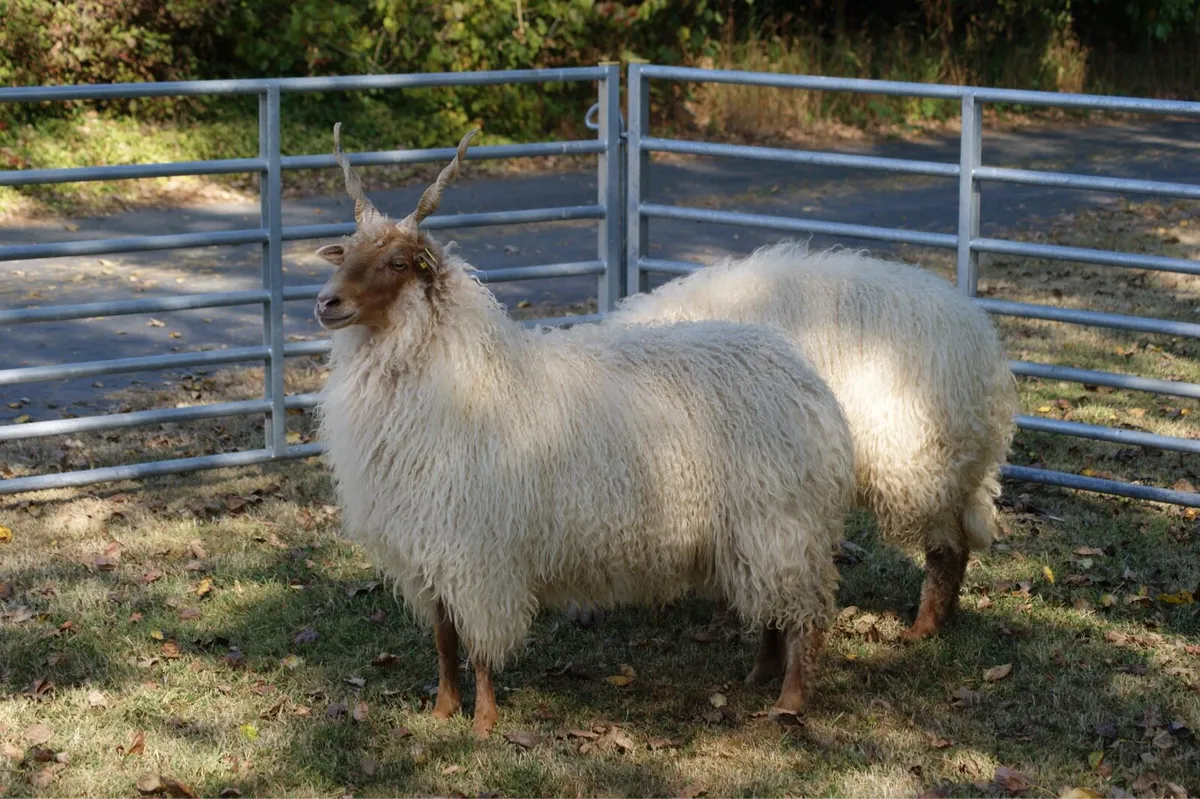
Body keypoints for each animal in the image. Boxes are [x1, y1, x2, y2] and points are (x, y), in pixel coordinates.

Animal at [312, 124, 857, 737]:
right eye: (347, 252)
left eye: (401, 261)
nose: (326, 303)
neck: (463, 373)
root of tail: (803, 376)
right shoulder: (429, 552)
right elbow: (444, 640)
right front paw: (443, 710)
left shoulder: (477, 553)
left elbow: (478, 647)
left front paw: (482, 724)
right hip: (754, 533)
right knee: (770, 610)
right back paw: (758, 675)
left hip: (783, 523)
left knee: (804, 616)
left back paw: (789, 701)